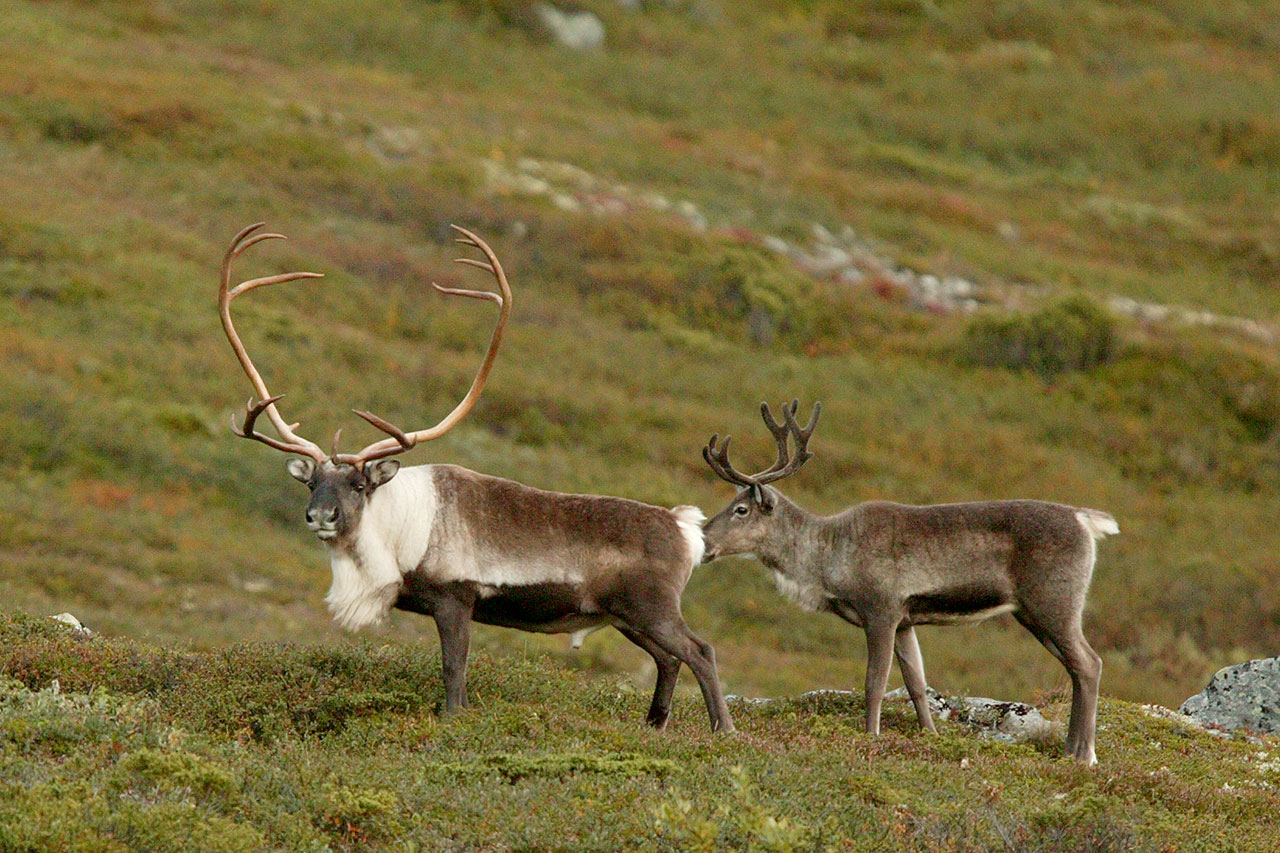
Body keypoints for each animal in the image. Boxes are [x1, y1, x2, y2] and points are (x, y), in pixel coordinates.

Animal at [217, 222, 734, 733]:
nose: (321, 515)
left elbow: (454, 670)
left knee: (700, 651)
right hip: (625, 616)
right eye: (310, 483)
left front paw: (452, 720)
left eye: (359, 485)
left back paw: (722, 731)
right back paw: (655, 726)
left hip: (652, 607)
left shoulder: (455, 599)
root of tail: (685, 526)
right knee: (669, 660)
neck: (395, 529)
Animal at [699, 400, 1116, 763]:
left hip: (1054, 602)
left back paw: (1085, 755)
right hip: (1032, 613)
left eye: (741, 509)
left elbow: (875, 682)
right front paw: (930, 734)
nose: (702, 540)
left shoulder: (881, 611)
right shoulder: (905, 620)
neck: (828, 559)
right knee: (1076, 668)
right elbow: (916, 682)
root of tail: (1085, 519)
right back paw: (1070, 749)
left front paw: (871, 736)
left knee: (1090, 663)